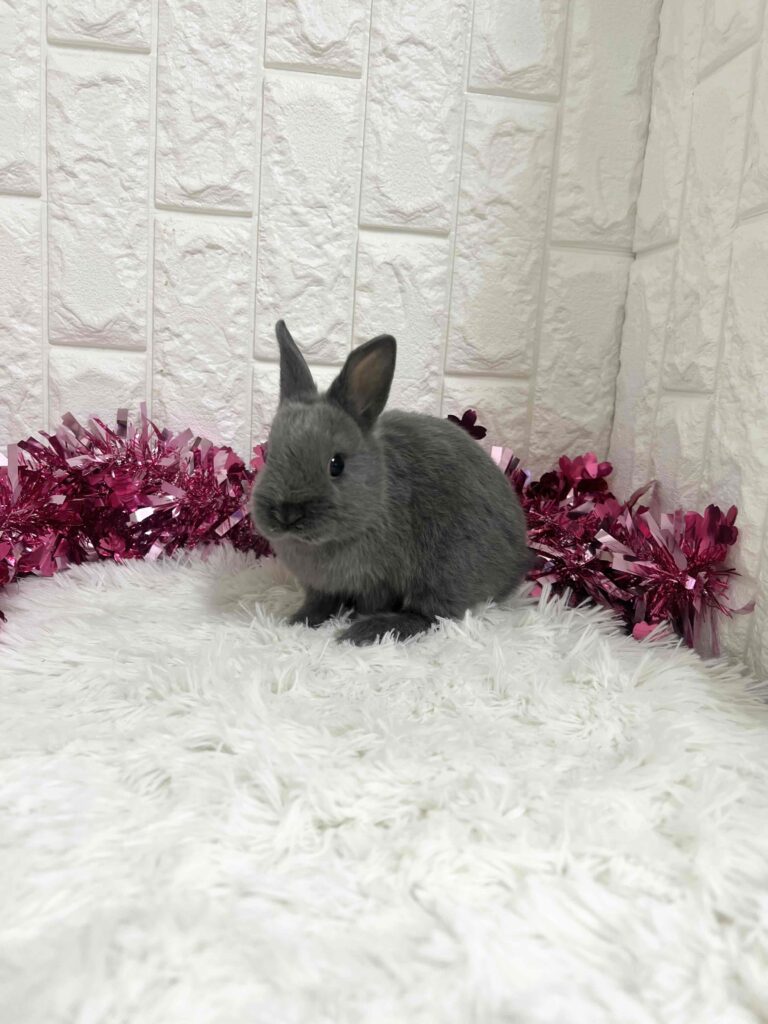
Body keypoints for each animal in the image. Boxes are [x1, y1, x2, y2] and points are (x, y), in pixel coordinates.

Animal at [250, 320, 533, 645]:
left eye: (336, 464)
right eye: (269, 453)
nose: (287, 514)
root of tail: (515, 563)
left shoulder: (380, 582)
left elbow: (375, 604)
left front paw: (355, 623)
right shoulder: (321, 587)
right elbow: (319, 603)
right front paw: (298, 621)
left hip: (448, 570)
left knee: (431, 617)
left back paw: (368, 630)